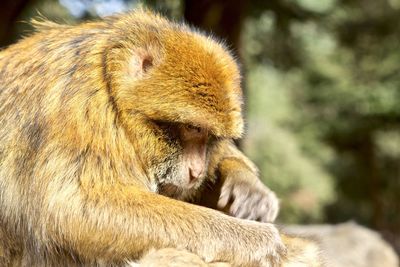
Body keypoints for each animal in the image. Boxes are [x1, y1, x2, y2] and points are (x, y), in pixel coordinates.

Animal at [0, 8, 318, 267]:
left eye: (210, 137)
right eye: (193, 129)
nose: (197, 170)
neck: (109, 82)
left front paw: (247, 185)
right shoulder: (80, 108)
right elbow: (74, 210)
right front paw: (256, 240)